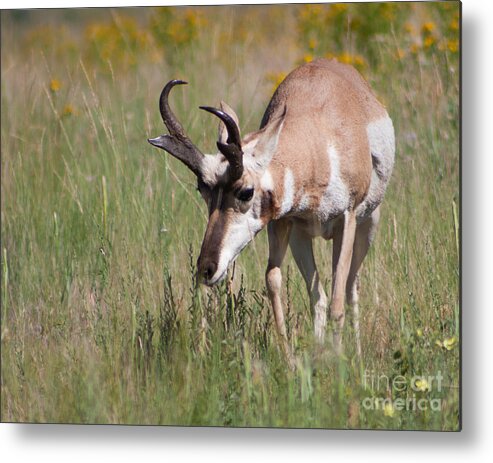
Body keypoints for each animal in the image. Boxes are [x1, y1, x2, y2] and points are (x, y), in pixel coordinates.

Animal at [148, 58, 394, 362]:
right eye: (202, 189)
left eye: (245, 191)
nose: (207, 269)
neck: (316, 143)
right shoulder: (282, 223)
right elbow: (273, 279)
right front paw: (290, 358)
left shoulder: (346, 220)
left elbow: (339, 296)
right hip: (302, 238)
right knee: (318, 296)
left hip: (368, 224)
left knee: (350, 287)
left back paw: (354, 354)